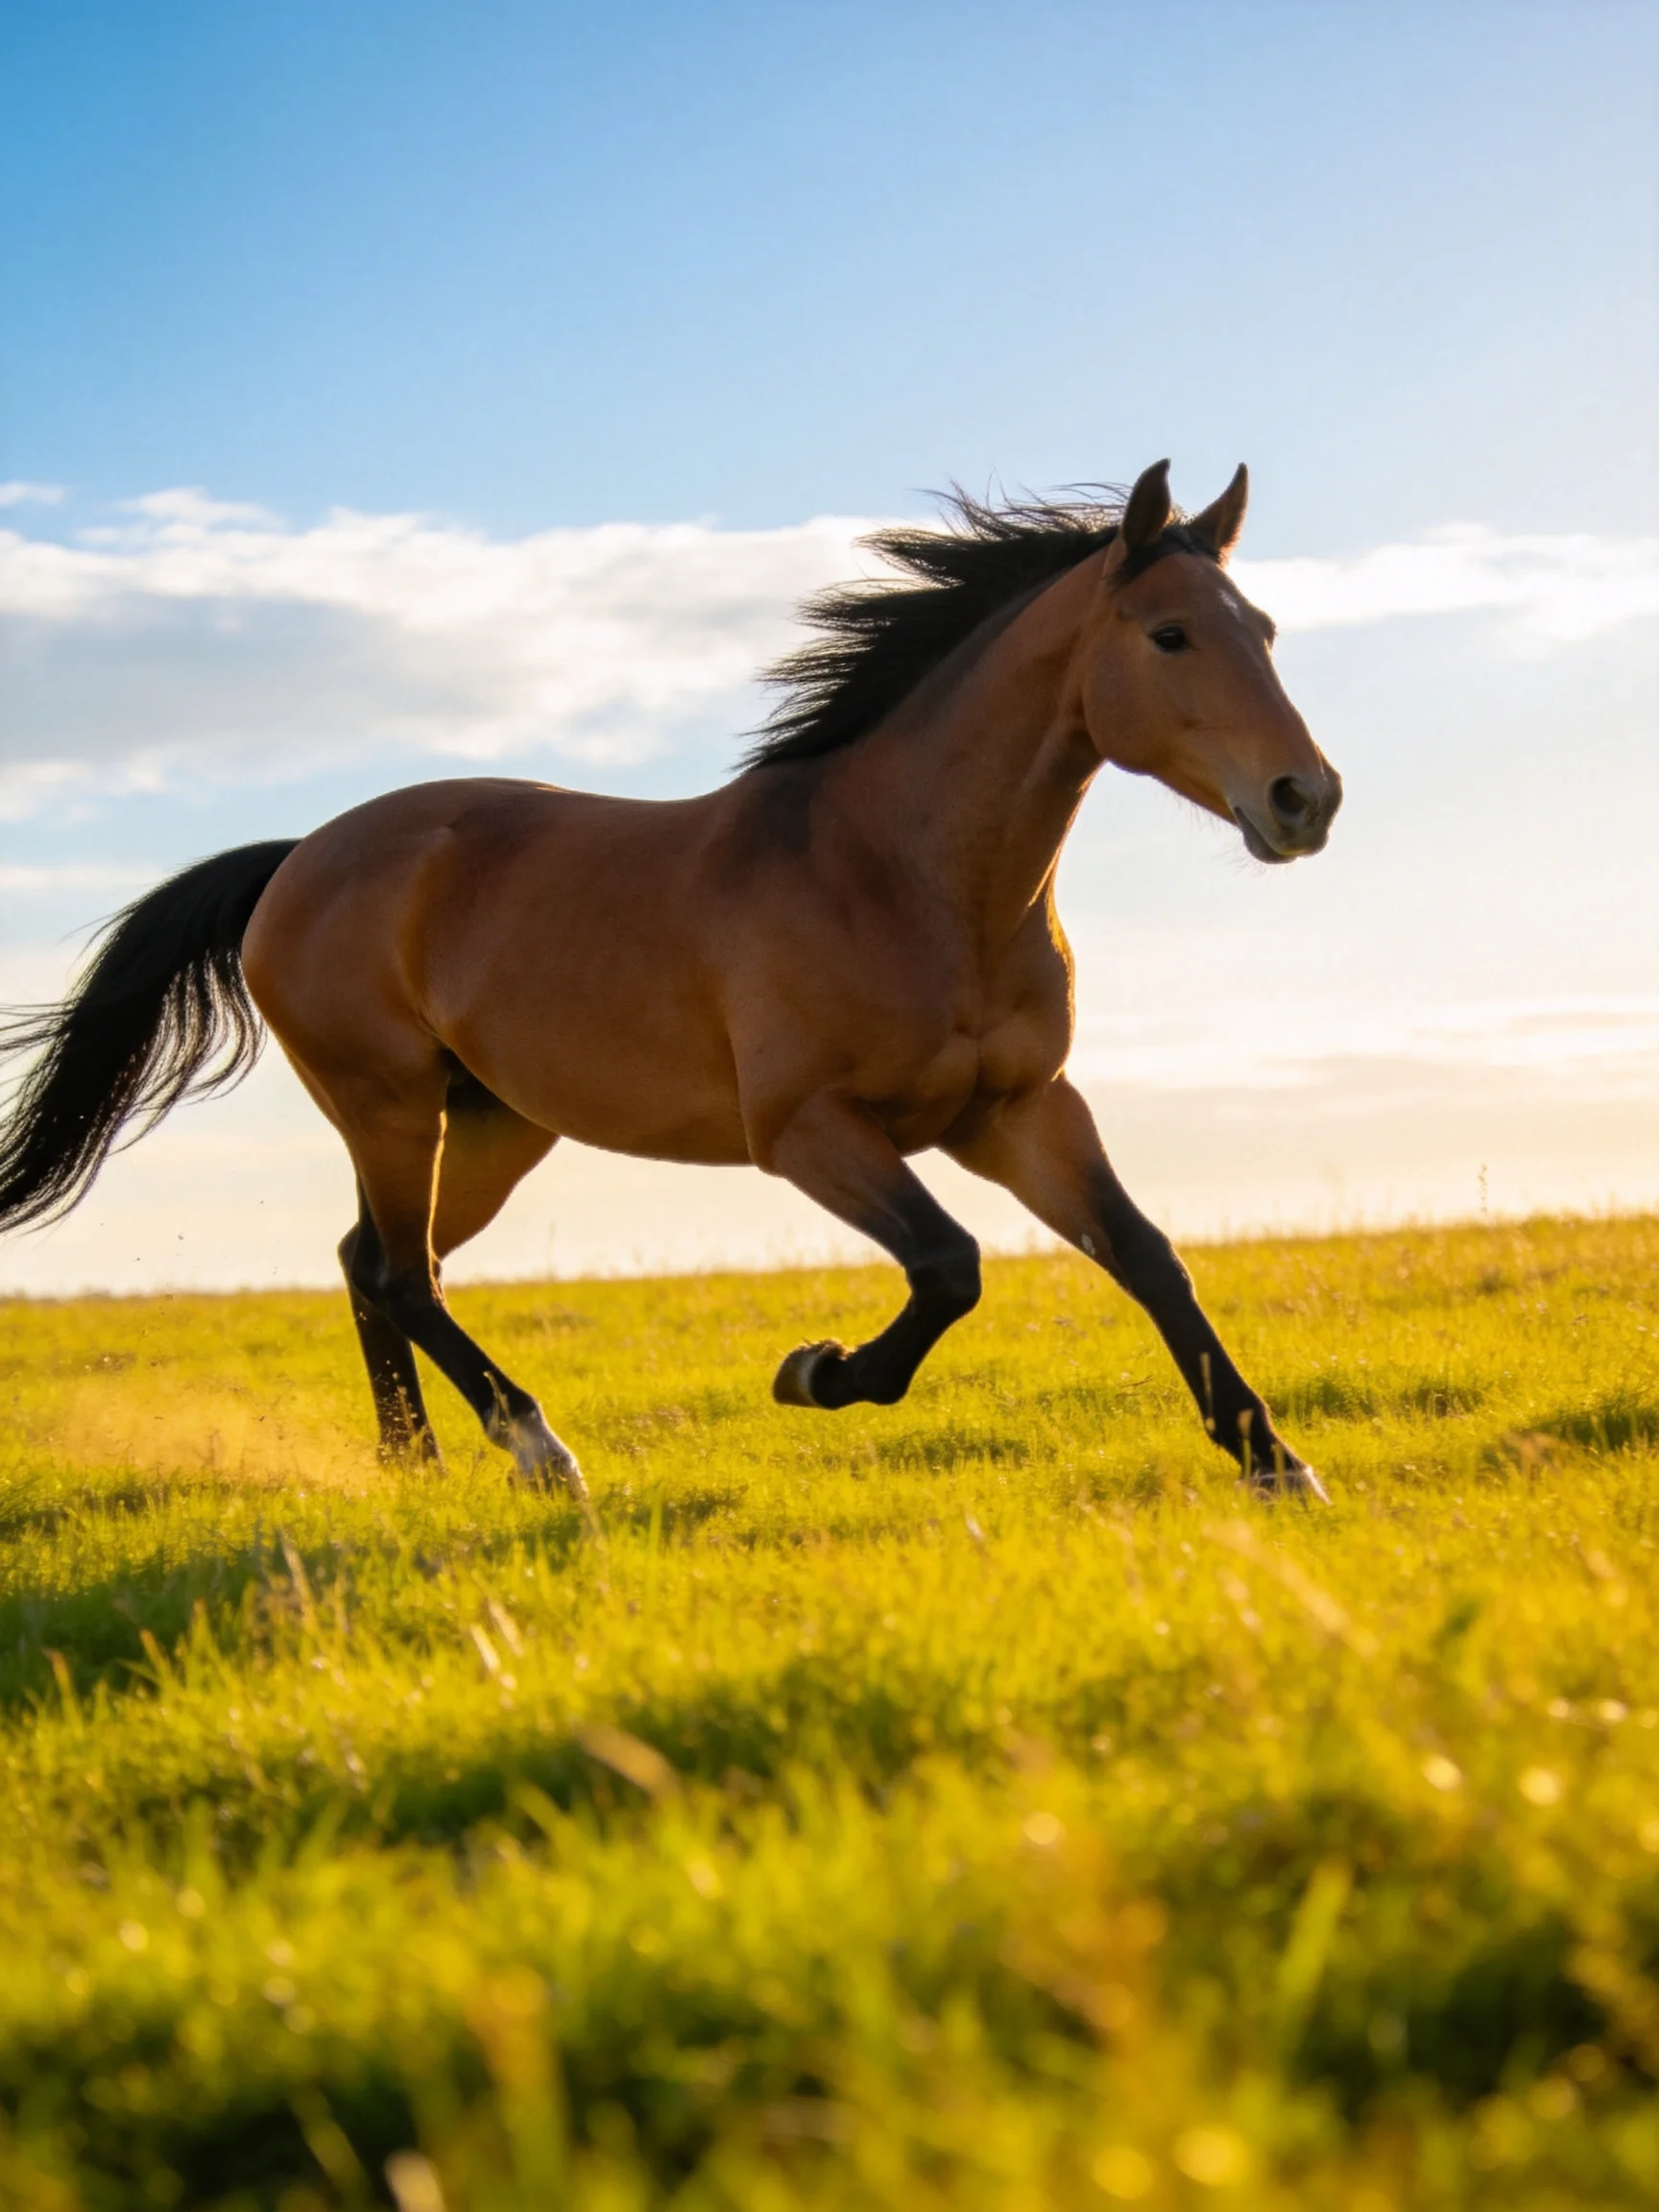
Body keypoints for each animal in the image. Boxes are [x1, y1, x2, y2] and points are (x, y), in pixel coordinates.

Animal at [0, 460, 1342, 1505]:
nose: (1305, 800)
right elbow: (948, 1264)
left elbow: (1147, 1257)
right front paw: (818, 1373)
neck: (902, 874)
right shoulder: (807, 1131)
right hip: (387, 1104)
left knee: (373, 1262)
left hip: (492, 1126)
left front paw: (1275, 1464)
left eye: (1267, 631)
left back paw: (412, 1464)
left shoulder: (1018, 1114)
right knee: (397, 1270)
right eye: (1169, 635)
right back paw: (539, 1452)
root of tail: (297, 858)